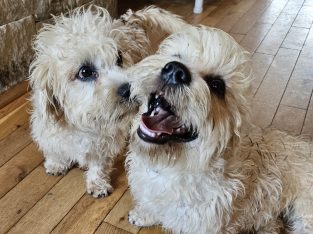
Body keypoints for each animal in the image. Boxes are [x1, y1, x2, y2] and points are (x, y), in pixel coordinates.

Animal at [28, 5, 185, 197]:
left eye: (119, 57)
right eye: (85, 71)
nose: (132, 89)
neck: (82, 121)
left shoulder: (104, 142)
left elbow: (98, 164)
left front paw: (97, 183)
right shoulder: (47, 132)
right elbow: (54, 150)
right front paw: (56, 163)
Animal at [124, 25, 312, 232]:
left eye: (216, 85)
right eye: (176, 56)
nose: (175, 71)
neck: (173, 165)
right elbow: (153, 206)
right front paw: (144, 214)